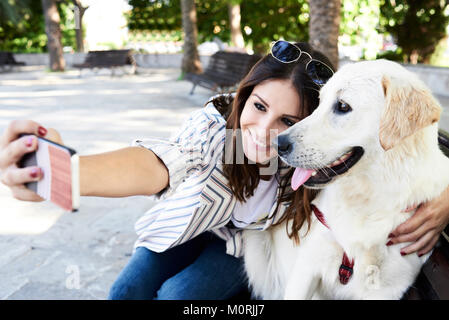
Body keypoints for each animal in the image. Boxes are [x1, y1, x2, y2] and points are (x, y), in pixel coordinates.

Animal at [243, 59, 448, 300]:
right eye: (319, 103)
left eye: (342, 106)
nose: (278, 143)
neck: (369, 198)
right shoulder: (307, 266)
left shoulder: (386, 290)